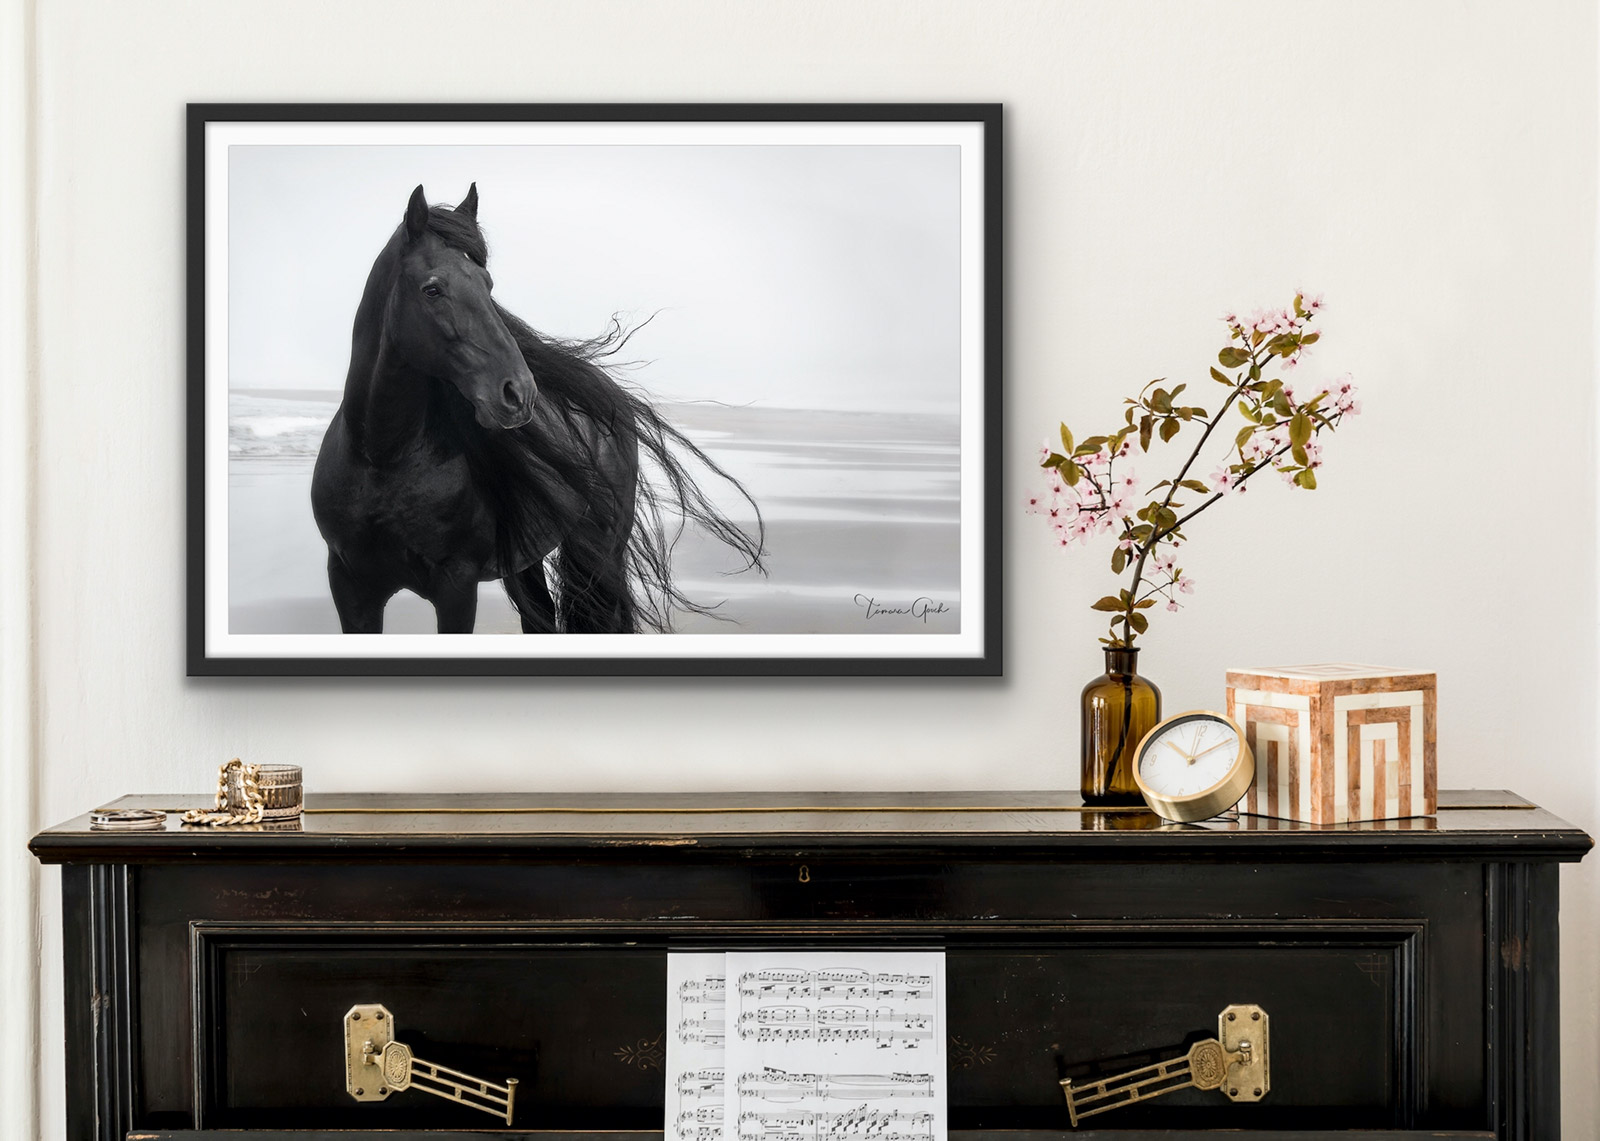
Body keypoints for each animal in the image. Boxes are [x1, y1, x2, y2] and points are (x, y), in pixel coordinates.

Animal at [315, 182, 764, 636]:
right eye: (432, 289)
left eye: (487, 284)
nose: (518, 392)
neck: (382, 458)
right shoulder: (351, 587)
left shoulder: (456, 587)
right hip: (524, 561)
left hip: (599, 548)